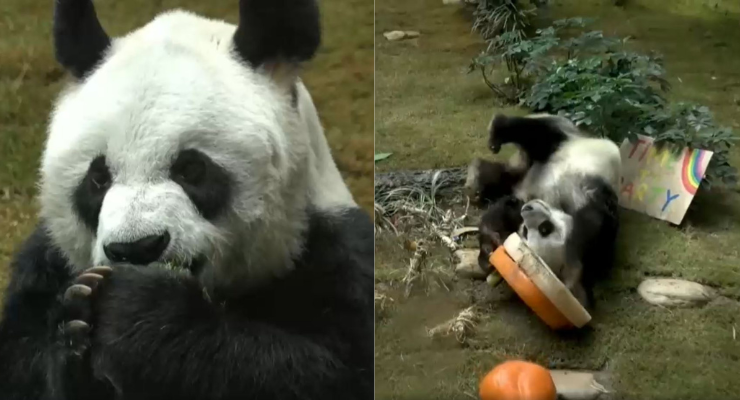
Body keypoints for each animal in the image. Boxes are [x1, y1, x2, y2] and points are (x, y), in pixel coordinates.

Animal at [0, 1, 373, 400]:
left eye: (191, 169)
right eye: (98, 178)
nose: (136, 248)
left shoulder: (329, 250)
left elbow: (325, 368)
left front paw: (139, 308)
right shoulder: (43, 268)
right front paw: (75, 324)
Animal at [474, 113, 621, 309]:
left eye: (544, 229)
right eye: (527, 231)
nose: (528, 208)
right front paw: (489, 247)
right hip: (563, 144)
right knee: (536, 133)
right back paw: (496, 134)